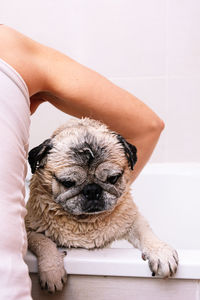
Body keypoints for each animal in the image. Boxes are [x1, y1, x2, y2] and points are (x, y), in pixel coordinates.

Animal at [25, 118, 178, 292]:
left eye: (113, 178)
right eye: (68, 183)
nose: (92, 190)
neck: (85, 222)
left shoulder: (132, 220)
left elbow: (147, 234)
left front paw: (161, 253)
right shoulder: (30, 230)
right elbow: (44, 243)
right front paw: (52, 271)